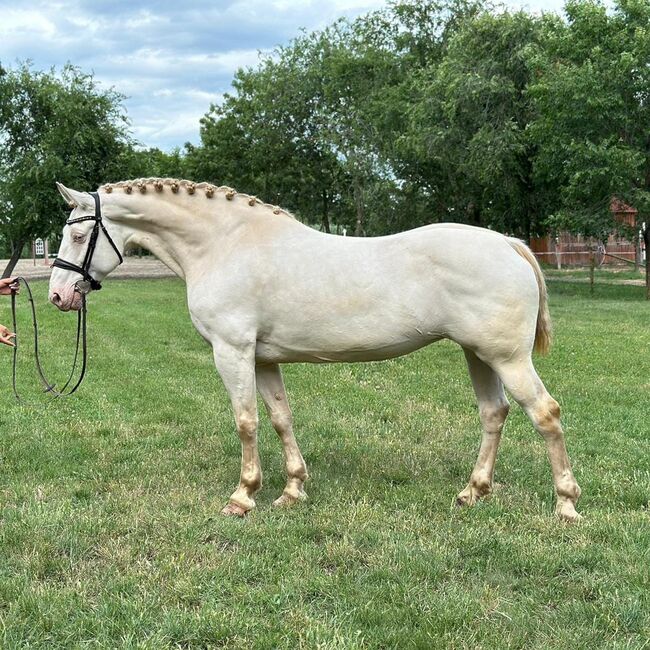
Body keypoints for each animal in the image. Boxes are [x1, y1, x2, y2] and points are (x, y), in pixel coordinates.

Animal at [48, 178, 580, 520]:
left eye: (77, 233)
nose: (58, 295)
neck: (225, 245)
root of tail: (508, 243)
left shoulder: (232, 351)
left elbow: (246, 422)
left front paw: (243, 496)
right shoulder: (263, 359)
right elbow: (280, 418)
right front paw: (292, 489)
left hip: (507, 358)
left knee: (546, 414)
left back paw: (566, 504)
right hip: (479, 355)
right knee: (494, 413)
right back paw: (473, 492)